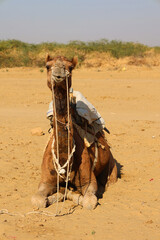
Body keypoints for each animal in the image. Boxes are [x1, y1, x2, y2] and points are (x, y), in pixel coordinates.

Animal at [31, 54, 117, 210]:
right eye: (47, 66)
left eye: (70, 67)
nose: (59, 75)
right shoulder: (45, 181)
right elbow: (37, 200)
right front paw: (59, 195)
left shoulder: (89, 181)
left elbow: (88, 202)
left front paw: (69, 193)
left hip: (111, 166)